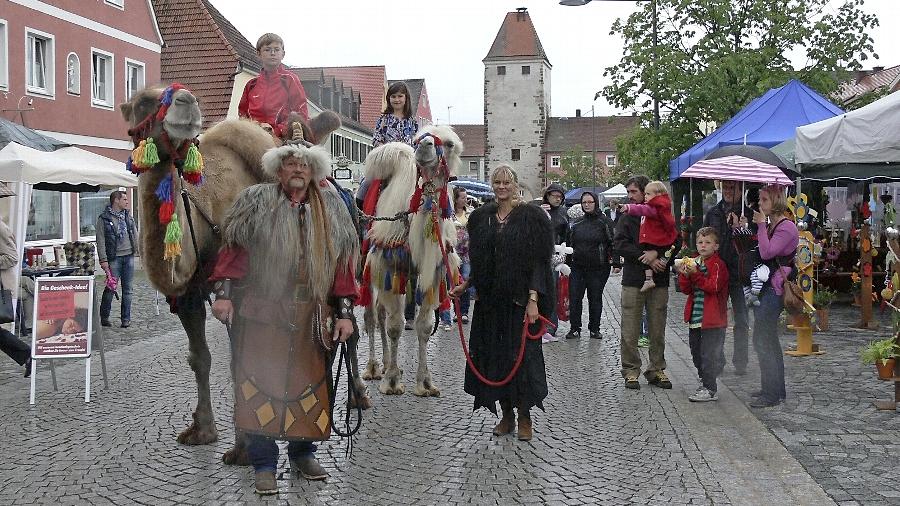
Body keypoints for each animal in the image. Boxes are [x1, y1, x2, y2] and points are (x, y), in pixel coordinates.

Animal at [119, 84, 366, 466]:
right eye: (143, 100)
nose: (187, 101)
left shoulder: (241, 289)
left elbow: (240, 362)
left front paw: (243, 448)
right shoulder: (188, 296)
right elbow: (199, 358)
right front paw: (203, 429)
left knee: (348, 326)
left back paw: (357, 397)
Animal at [356, 125, 460, 396]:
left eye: (449, 143)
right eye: (417, 139)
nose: (424, 147)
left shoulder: (433, 273)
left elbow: (424, 326)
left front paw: (425, 382)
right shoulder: (389, 264)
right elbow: (395, 326)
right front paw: (392, 381)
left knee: (381, 313)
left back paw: (385, 364)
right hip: (367, 268)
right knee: (372, 316)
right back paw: (374, 368)